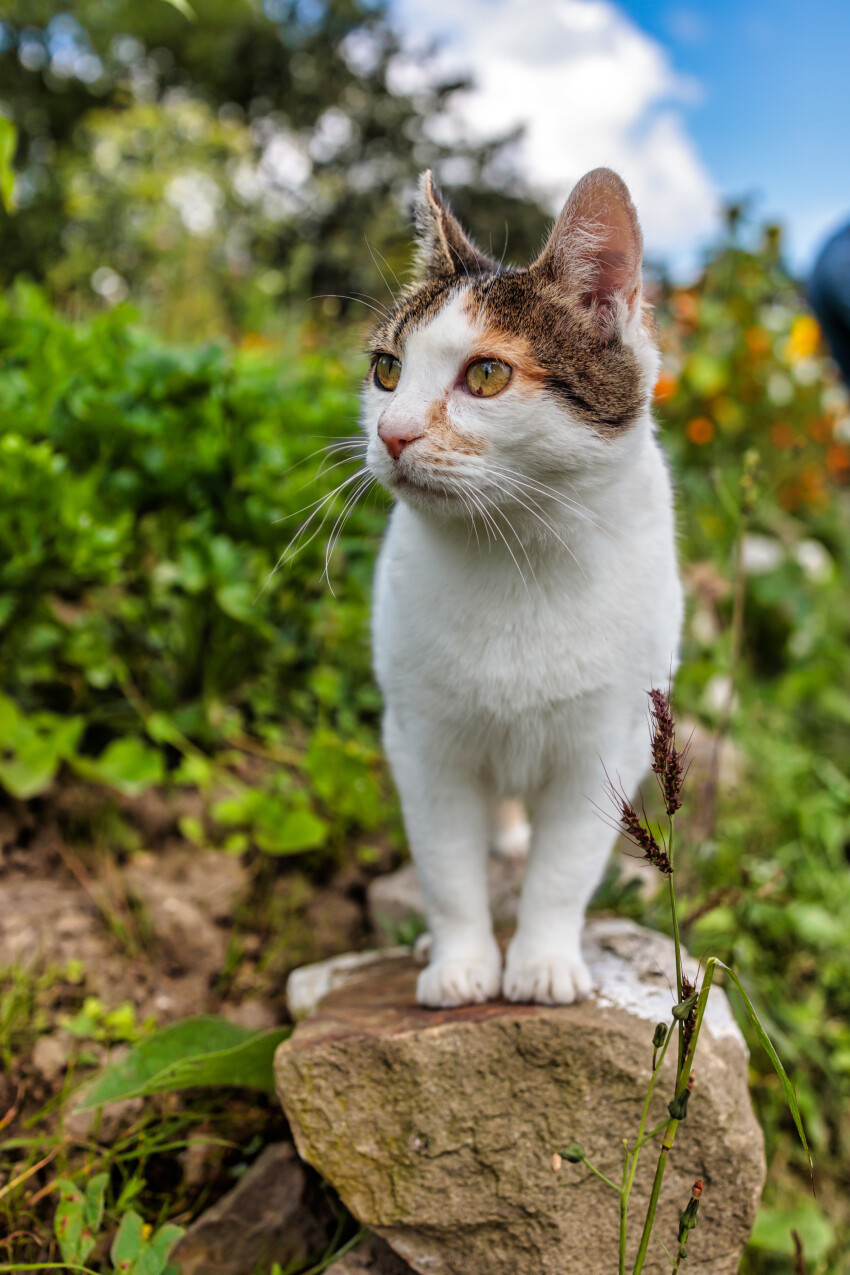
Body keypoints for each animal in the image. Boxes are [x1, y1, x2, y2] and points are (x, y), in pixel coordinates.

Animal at [361, 167, 683, 1004]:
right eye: (386, 371)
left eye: (487, 374)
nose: (390, 432)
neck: (516, 557)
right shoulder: (423, 742)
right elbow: (446, 865)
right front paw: (461, 962)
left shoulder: (608, 744)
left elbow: (565, 868)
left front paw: (542, 961)